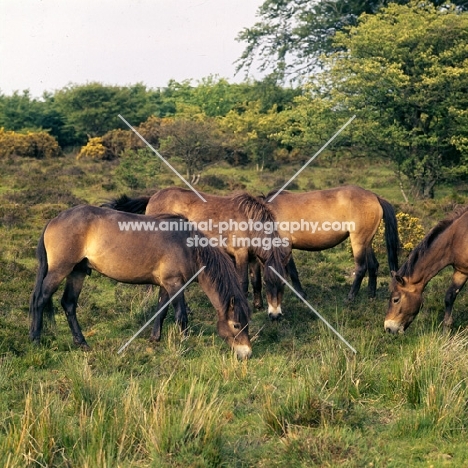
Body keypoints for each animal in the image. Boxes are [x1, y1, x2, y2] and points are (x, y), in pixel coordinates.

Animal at [28, 205, 252, 358]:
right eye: (235, 325)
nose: (247, 353)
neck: (188, 245)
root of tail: (54, 220)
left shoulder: (166, 285)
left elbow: (161, 311)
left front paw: (155, 338)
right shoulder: (175, 284)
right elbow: (181, 315)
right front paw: (185, 343)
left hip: (78, 272)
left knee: (69, 304)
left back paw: (81, 342)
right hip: (60, 269)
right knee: (41, 299)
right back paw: (35, 339)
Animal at [104, 188, 290, 320]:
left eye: (283, 284)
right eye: (268, 283)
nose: (275, 315)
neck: (249, 220)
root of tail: (152, 198)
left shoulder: (253, 258)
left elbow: (255, 281)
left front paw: (258, 305)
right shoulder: (240, 255)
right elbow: (243, 283)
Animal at [264, 184, 398, 300]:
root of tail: (374, 196)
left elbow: (292, 272)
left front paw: (301, 295)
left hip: (358, 241)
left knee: (361, 268)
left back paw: (350, 297)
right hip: (367, 242)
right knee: (373, 265)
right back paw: (371, 296)